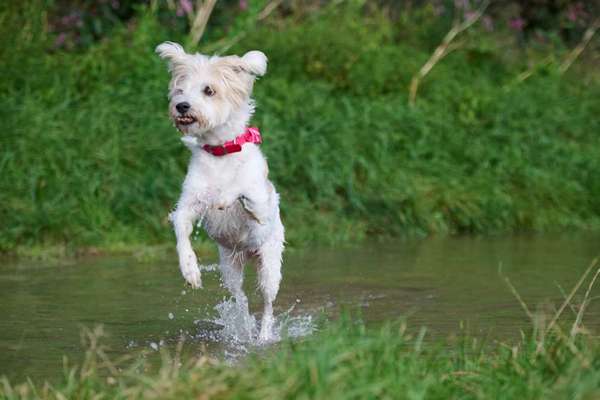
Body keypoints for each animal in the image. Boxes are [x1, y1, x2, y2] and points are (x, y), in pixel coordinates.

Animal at [156, 41, 284, 340]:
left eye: (209, 90)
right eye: (180, 90)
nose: (181, 106)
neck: (220, 152)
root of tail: (247, 254)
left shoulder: (261, 206)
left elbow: (242, 195)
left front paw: (224, 198)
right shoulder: (187, 204)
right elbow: (181, 229)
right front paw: (190, 270)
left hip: (269, 266)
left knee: (267, 305)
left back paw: (263, 337)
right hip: (230, 267)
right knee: (242, 299)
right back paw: (244, 327)